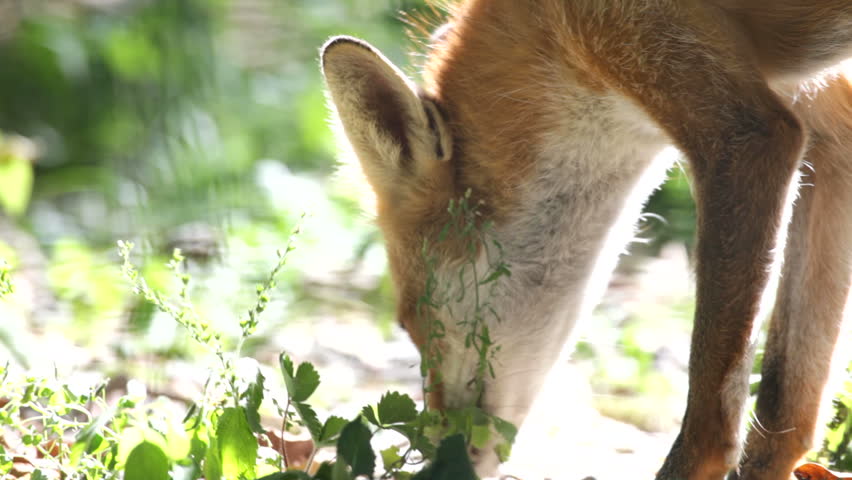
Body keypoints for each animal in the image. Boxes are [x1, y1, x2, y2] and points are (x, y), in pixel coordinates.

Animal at [320, 1, 852, 479]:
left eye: (409, 323)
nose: (436, 457)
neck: (543, 23)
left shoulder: (746, 134)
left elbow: (709, 428)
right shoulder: (827, 127)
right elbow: (786, 413)